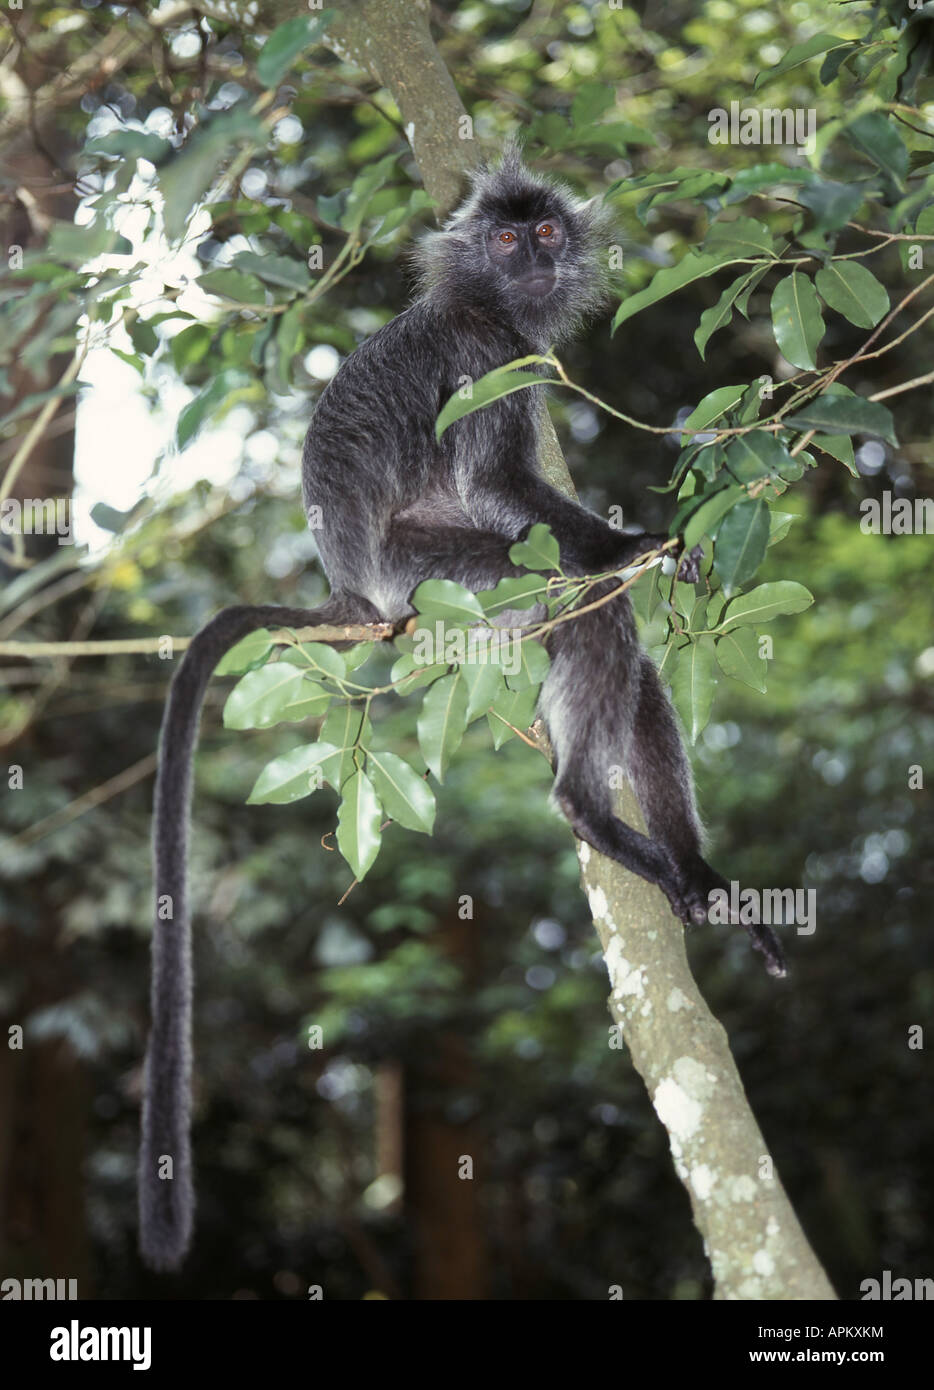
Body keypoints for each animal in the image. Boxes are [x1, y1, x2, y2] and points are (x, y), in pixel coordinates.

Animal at [136, 146, 778, 1273]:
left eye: (546, 233)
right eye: (507, 238)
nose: (534, 257)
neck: (481, 300)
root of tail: (355, 589)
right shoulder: (492, 358)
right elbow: (503, 480)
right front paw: (637, 542)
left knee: (623, 658)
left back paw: (695, 876)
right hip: (441, 575)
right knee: (572, 593)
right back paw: (589, 810)